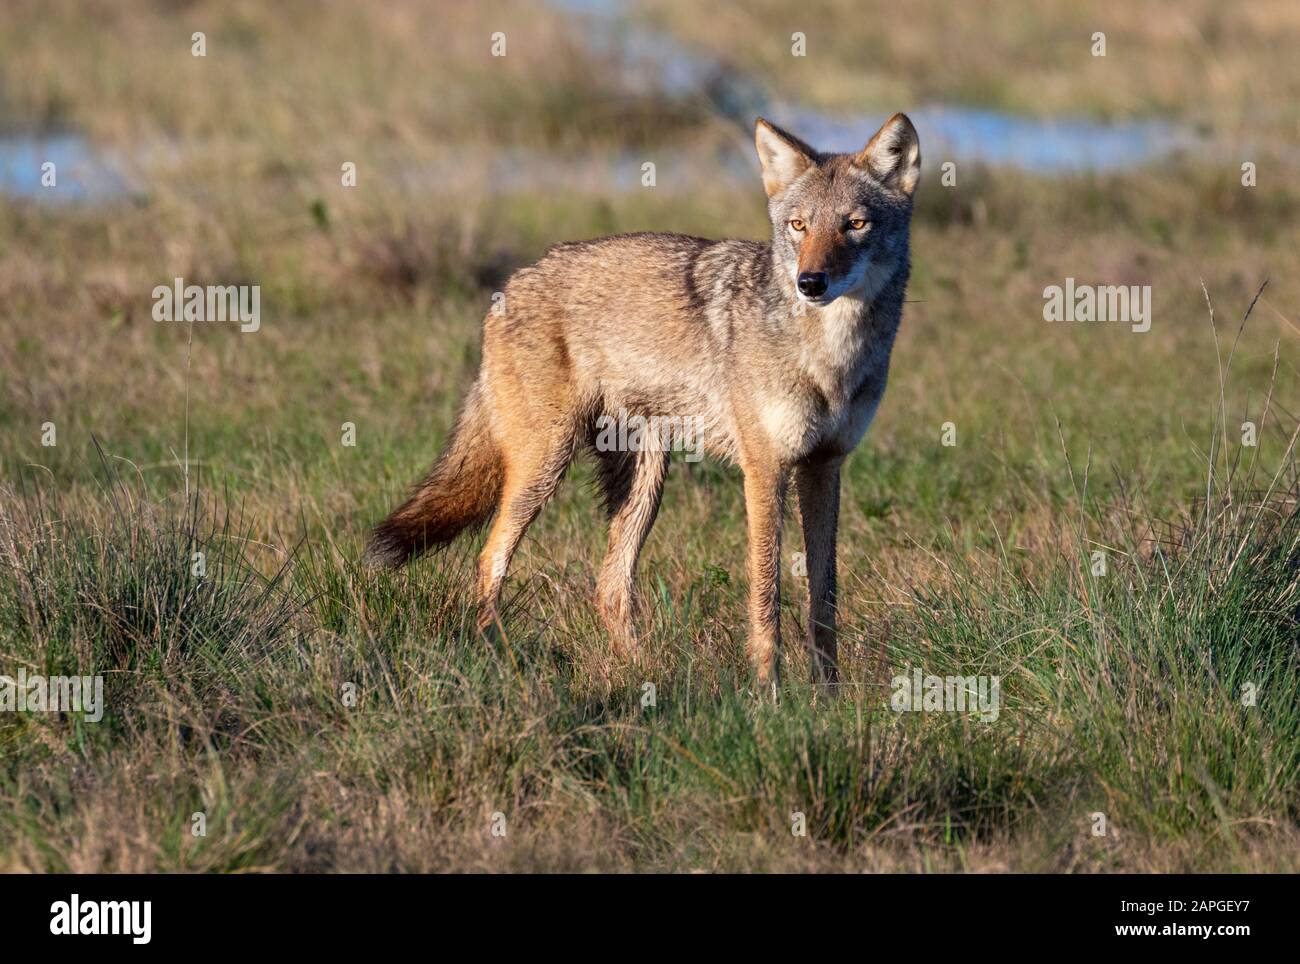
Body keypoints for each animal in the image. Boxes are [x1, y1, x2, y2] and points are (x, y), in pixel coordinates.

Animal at [365, 113, 920, 691]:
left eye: (854, 225)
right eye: (798, 226)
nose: (810, 282)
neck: (830, 356)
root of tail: (511, 283)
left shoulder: (824, 466)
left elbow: (823, 596)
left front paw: (828, 694)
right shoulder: (764, 469)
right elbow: (767, 590)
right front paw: (769, 691)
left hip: (644, 480)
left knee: (608, 587)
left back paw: (647, 673)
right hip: (544, 469)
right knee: (489, 559)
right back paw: (508, 664)